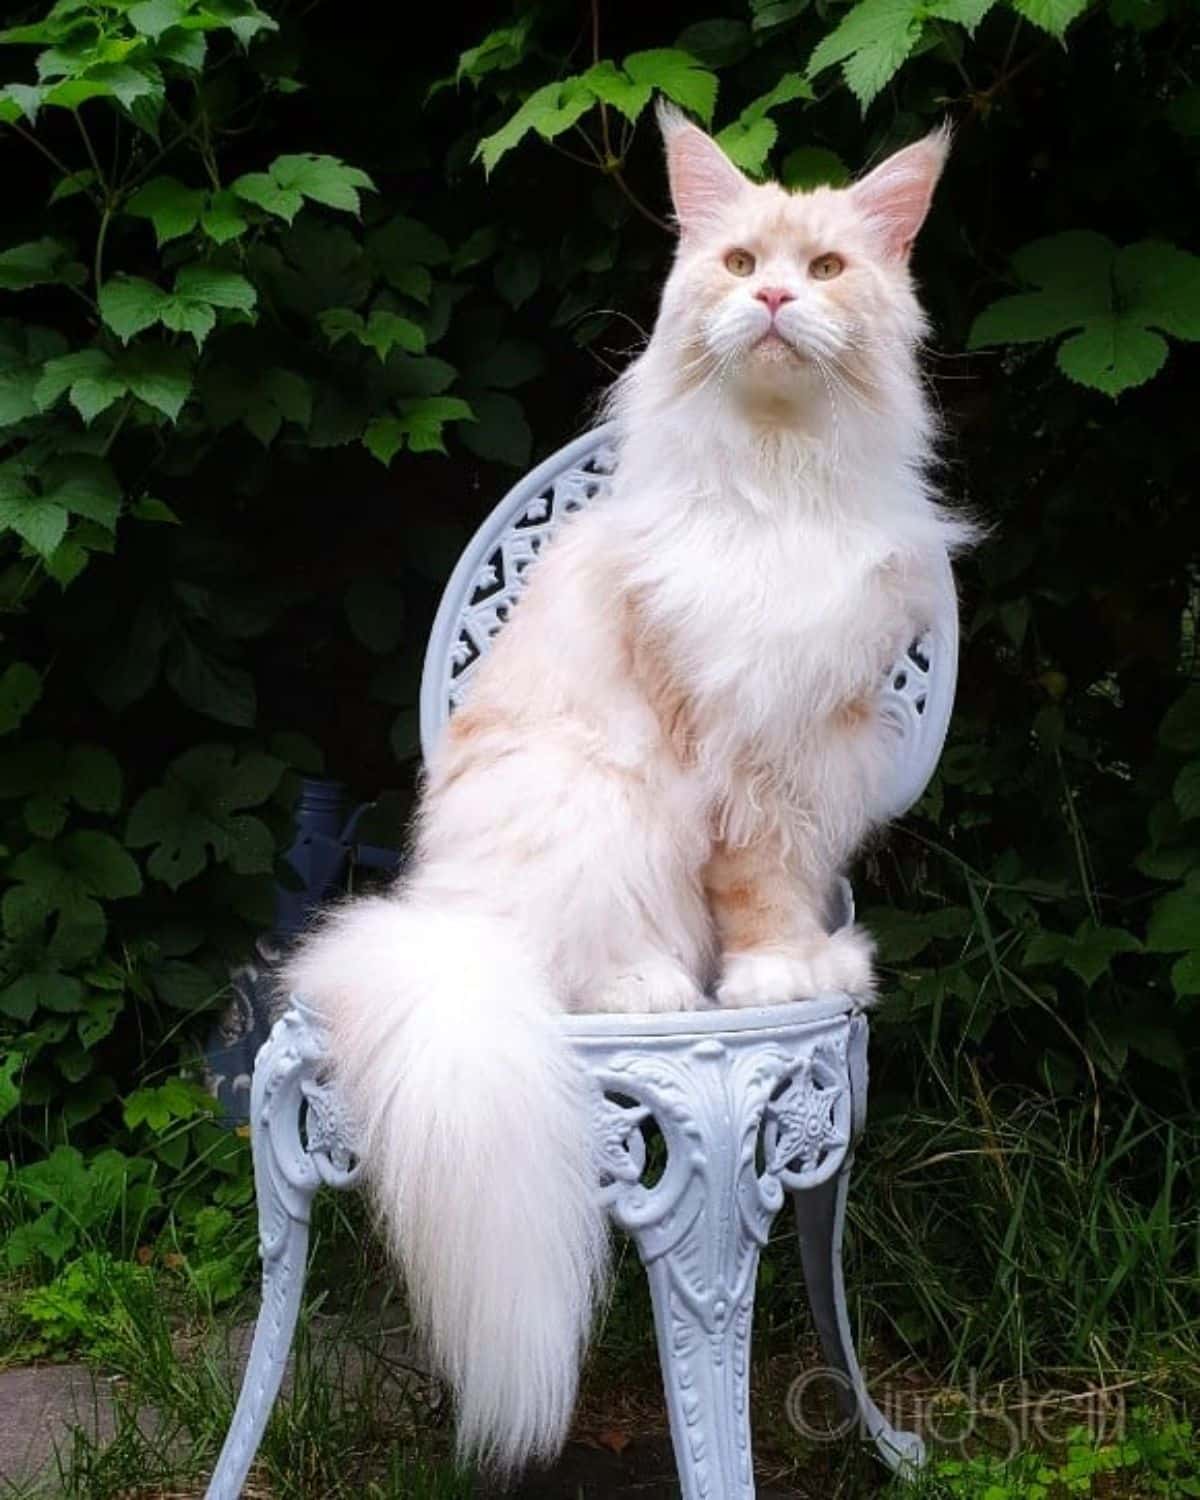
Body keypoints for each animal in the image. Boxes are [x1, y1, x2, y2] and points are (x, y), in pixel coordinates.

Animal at [282, 105, 972, 1476]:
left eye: (824, 271)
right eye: (740, 262)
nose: (772, 298)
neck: (779, 484)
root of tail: (440, 925)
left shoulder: (816, 742)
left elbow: (794, 882)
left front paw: (813, 965)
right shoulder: (729, 746)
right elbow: (750, 888)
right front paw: (764, 980)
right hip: (594, 803)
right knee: (585, 959)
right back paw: (655, 987)